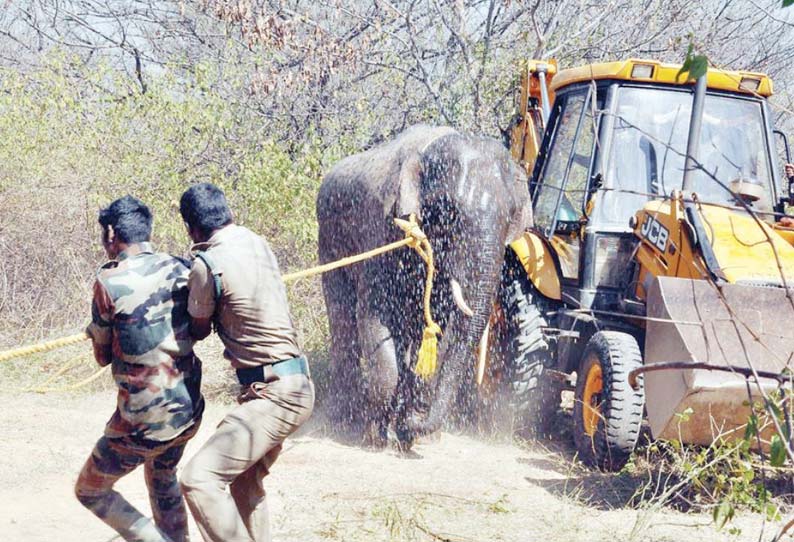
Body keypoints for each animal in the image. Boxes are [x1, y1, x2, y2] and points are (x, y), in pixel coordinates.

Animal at [316, 125, 532, 448]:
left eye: (511, 216)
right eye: (450, 212)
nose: (409, 430)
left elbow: (437, 330)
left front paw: (412, 436)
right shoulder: (380, 227)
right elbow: (375, 314)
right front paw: (377, 438)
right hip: (329, 237)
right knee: (342, 315)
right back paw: (341, 419)